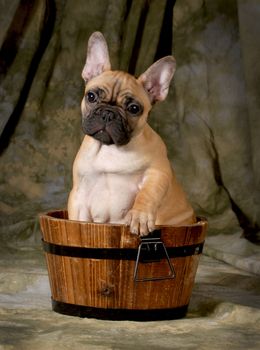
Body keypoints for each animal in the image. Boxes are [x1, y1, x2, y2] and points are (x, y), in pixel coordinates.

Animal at [67, 32, 195, 235]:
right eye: (91, 96)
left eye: (134, 108)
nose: (108, 114)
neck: (111, 149)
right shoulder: (79, 196)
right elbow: (77, 219)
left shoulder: (158, 171)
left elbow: (147, 194)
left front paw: (140, 217)